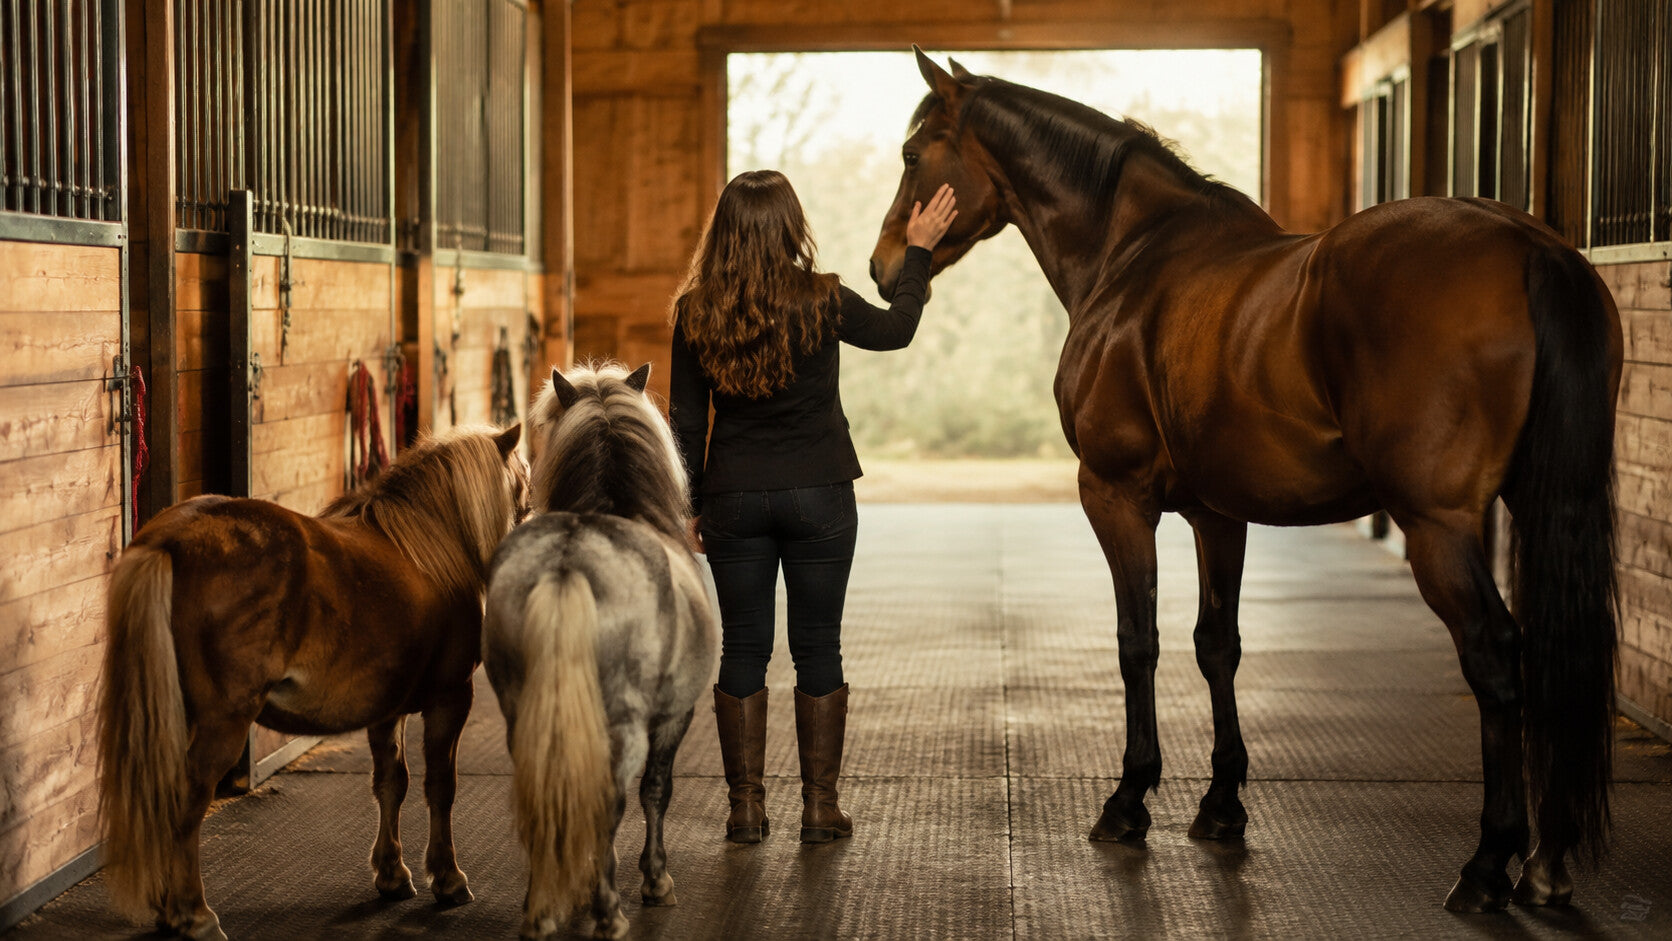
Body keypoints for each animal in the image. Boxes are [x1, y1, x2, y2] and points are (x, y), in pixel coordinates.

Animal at [97, 424, 528, 940]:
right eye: (523, 477)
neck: (431, 545)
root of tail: (169, 541)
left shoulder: (387, 710)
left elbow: (392, 782)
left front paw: (392, 874)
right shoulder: (451, 698)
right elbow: (441, 787)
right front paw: (448, 878)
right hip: (223, 722)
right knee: (188, 798)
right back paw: (194, 914)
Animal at [482, 362, 718, 940]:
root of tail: (567, 563)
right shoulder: (675, 714)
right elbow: (657, 790)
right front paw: (656, 881)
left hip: (521, 709)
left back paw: (541, 909)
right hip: (623, 722)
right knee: (608, 800)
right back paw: (608, 911)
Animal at [870, 50, 1623, 914]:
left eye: (912, 155)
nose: (884, 268)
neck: (1133, 257)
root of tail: (1533, 249)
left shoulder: (1115, 496)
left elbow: (1138, 641)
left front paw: (1129, 800)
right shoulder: (1216, 513)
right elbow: (1216, 644)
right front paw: (1222, 803)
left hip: (1438, 527)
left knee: (1495, 656)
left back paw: (1488, 863)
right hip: (1540, 504)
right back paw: (1546, 861)